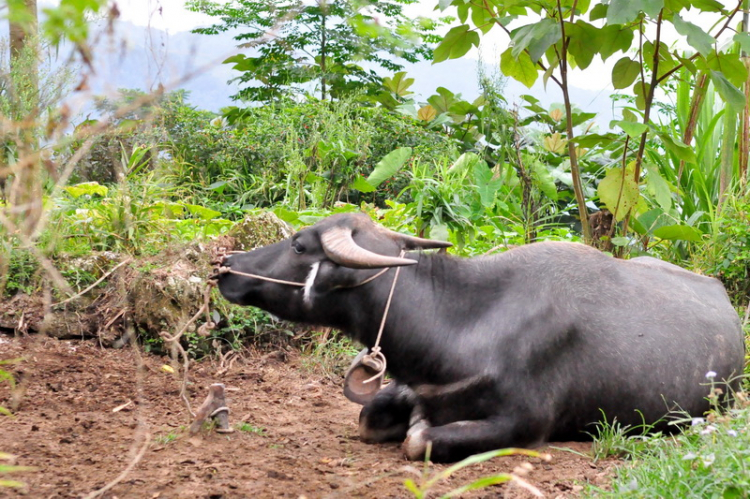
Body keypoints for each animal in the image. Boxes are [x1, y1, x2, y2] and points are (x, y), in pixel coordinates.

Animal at [216, 213, 748, 462]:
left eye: (299, 244)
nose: (227, 264)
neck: (467, 319)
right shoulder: (409, 386)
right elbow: (368, 417)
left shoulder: (524, 425)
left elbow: (418, 440)